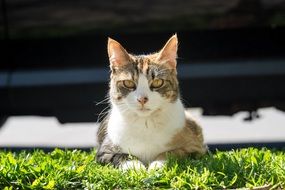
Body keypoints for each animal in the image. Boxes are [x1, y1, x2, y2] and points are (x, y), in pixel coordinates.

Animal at [96, 34, 206, 171]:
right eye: (128, 83)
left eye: (158, 82)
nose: (142, 99)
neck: (145, 123)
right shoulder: (104, 151)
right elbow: (122, 156)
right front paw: (136, 168)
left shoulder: (196, 148)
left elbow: (172, 153)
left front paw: (157, 165)